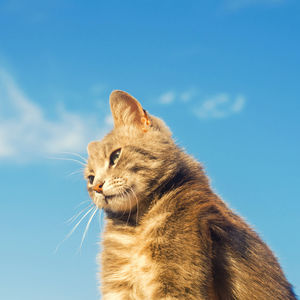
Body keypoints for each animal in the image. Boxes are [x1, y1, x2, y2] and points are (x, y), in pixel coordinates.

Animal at [85, 91, 298, 300]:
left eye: (115, 156)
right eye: (90, 178)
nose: (97, 187)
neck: (137, 223)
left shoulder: (175, 285)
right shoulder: (118, 287)